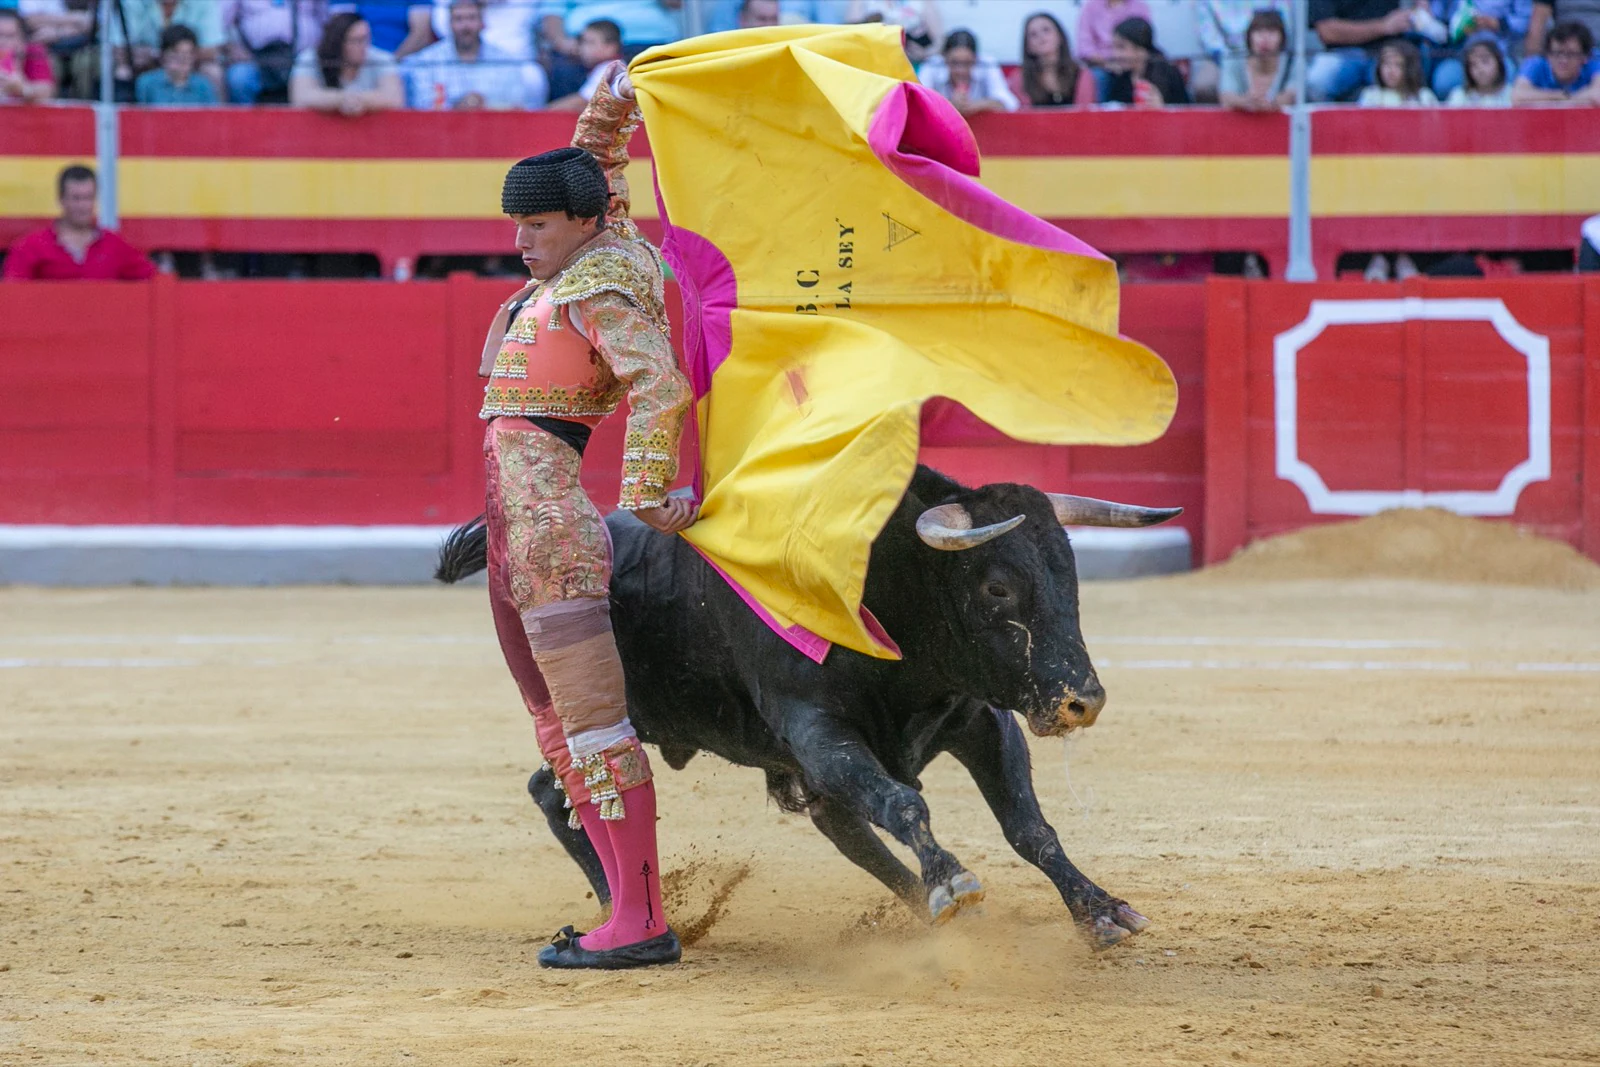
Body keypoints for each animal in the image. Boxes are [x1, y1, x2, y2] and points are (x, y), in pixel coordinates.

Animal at [432, 463, 1184, 947]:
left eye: (1070, 574)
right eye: (997, 587)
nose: (1083, 700)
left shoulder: (977, 718)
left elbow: (1028, 826)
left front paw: (1101, 910)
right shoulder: (819, 732)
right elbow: (904, 805)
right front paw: (953, 880)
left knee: (839, 824)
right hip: (582, 715)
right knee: (560, 791)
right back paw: (628, 914)